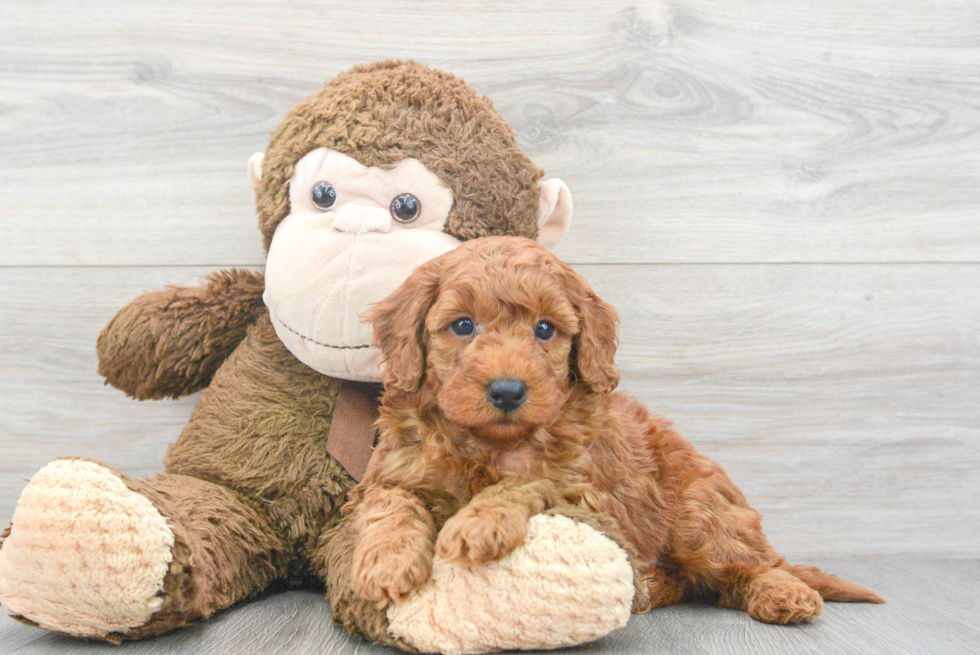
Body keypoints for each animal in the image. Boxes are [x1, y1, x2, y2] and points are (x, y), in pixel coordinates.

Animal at [348, 237, 884, 624]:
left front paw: (479, 522)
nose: (507, 391)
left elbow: (527, 482)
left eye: (545, 330)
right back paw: (651, 587)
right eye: (462, 325)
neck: (490, 444)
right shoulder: (391, 471)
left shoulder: (588, 495)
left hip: (701, 515)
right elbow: (390, 503)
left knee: (748, 567)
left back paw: (785, 593)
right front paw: (386, 563)